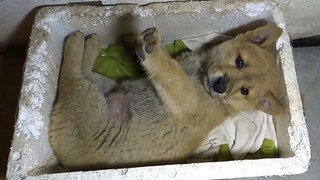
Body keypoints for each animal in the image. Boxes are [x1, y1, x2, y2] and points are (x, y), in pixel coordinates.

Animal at [49, 24, 282, 169]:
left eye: (245, 91)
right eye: (239, 62)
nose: (221, 86)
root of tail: (66, 164)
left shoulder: (186, 97)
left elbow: (168, 69)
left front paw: (152, 50)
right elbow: (168, 63)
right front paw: (132, 41)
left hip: (87, 97)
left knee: (70, 74)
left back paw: (76, 44)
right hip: (103, 87)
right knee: (85, 72)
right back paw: (92, 44)